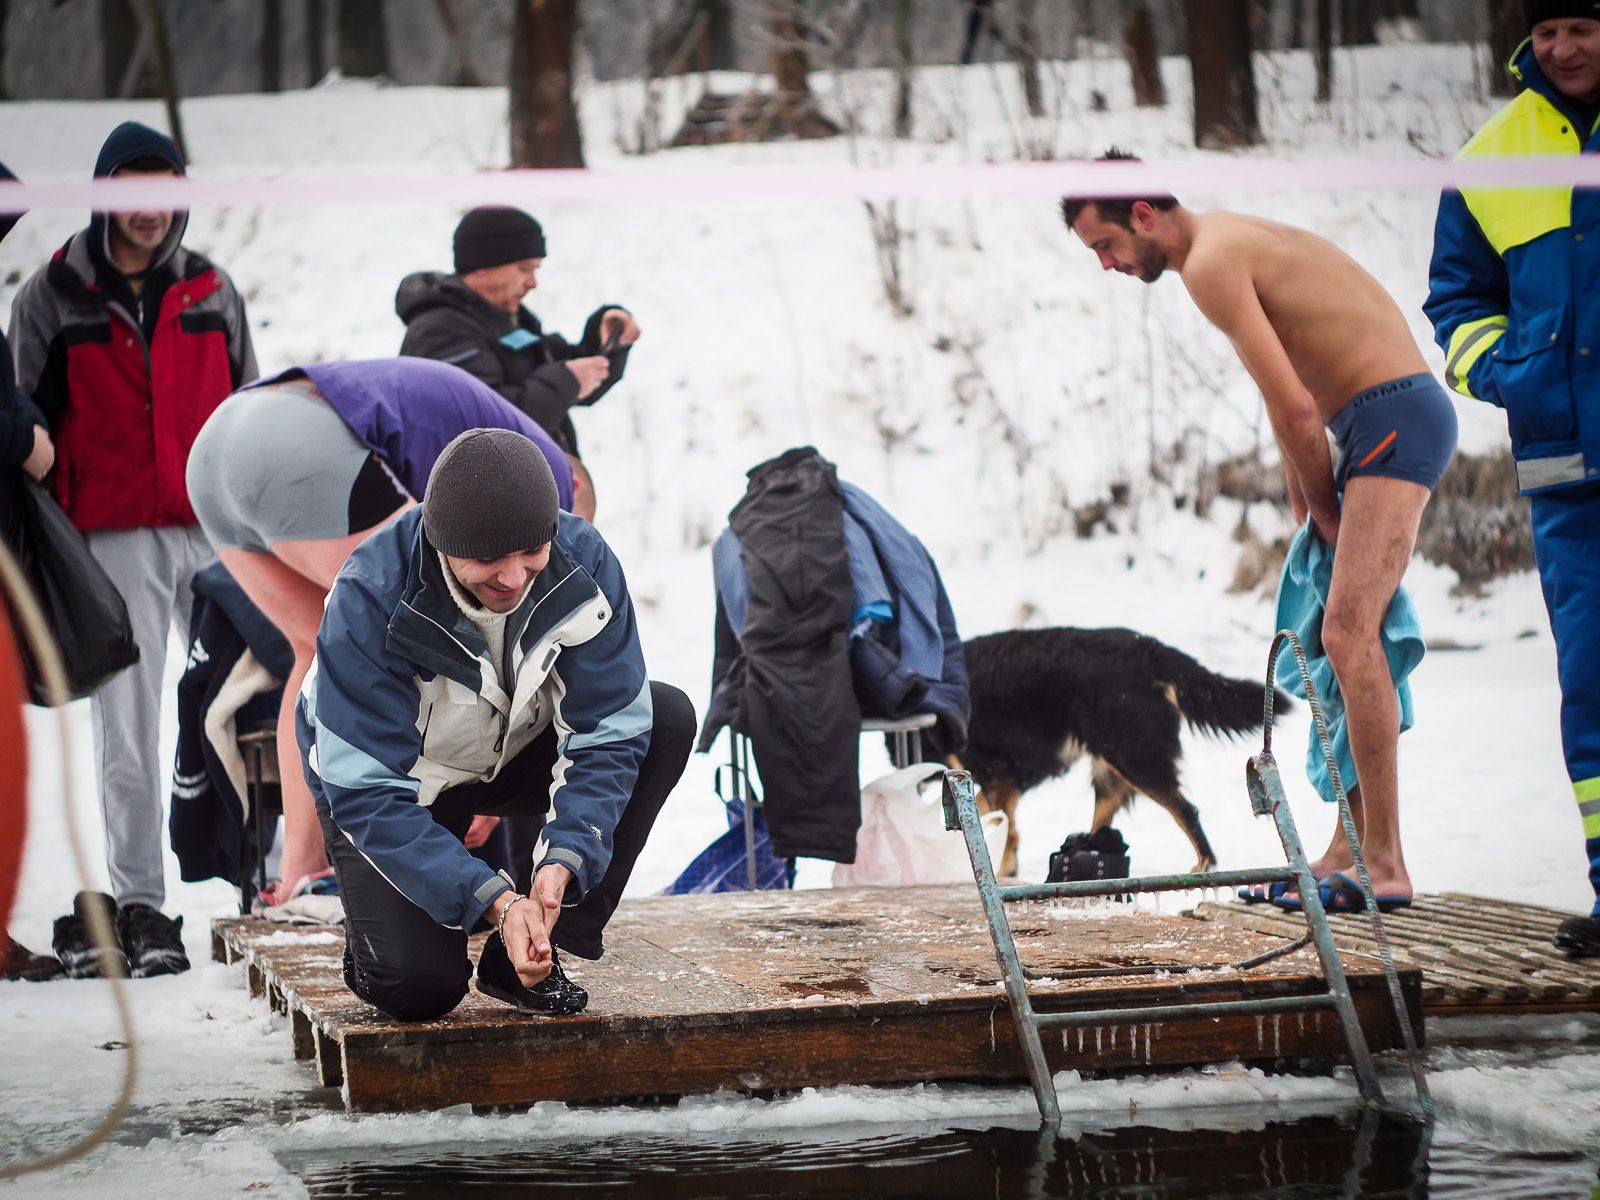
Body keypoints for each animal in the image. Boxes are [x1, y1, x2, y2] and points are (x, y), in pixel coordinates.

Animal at [934, 633, 1286, 876]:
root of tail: (1151, 651)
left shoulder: (997, 773)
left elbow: (1004, 824)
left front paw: (1005, 867)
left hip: (1134, 757)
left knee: (1186, 811)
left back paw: (1204, 865)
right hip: (1112, 767)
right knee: (1103, 825)